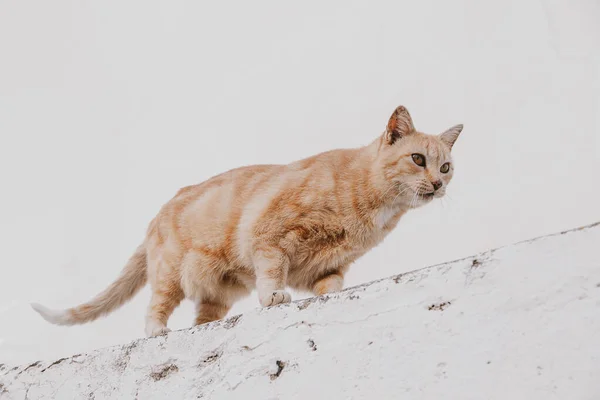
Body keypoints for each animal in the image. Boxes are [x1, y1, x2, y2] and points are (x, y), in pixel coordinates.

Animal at [31, 105, 464, 338]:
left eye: (445, 166)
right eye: (418, 160)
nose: (438, 184)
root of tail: (156, 217)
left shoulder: (331, 264)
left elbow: (332, 284)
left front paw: (327, 296)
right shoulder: (270, 238)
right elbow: (273, 272)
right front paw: (274, 295)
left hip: (218, 292)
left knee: (203, 315)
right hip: (171, 274)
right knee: (156, 305)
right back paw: (156, 330)